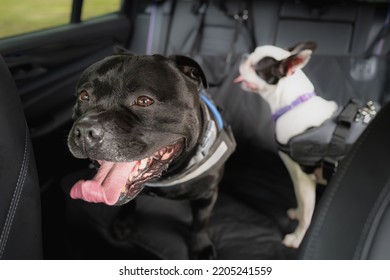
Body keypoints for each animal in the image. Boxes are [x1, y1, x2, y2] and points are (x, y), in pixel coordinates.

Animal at [68, 50, 235, 258]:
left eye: (144, 101)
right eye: (84, 96)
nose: (85, 131)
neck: (168, 175)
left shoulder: (207, 193)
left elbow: (201, 222)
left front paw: (201, 247)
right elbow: (127, 204)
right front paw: (124, 223)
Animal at [233, 41, 376, 247]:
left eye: (255, 67)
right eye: (252, 52)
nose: (244, 56)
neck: (294, 105)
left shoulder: (303, 177)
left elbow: (307, 213)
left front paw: (297, 238)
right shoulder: (297, 178)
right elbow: (302, 204)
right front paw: (297, 214)